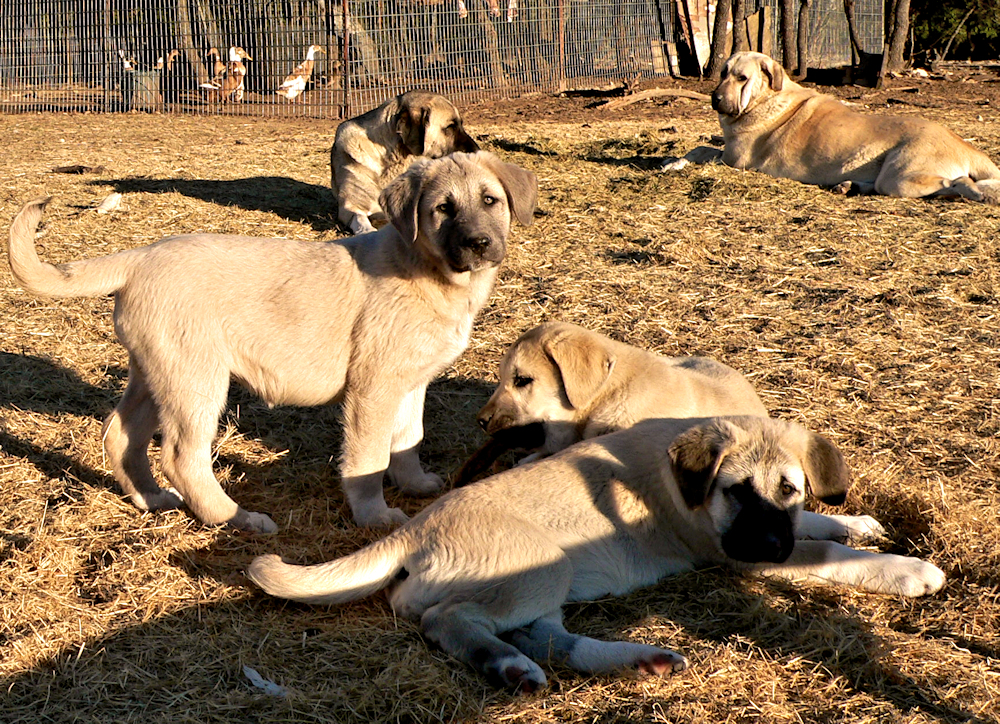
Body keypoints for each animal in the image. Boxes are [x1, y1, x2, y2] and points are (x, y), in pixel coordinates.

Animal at [7, 150, 540, 532]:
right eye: (443, 209)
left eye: (489, 201)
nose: (478, 244)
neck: (428, 271)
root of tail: (140, 256)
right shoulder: (374, 388)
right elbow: (370, 457)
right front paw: (374, 515)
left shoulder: (410, 384)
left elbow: (408, 441)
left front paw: (415, 484)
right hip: (196, 379)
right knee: (181, 456)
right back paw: (236, 517)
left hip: (156, 374)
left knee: (120, 435)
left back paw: (153, 499)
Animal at [250, 412, 944, 692]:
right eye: (734, 492)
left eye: (789, 488)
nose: (771, 545)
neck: (687, 483)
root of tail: (414, 528)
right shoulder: (733, 552)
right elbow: (827, 558)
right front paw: (910, 571)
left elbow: (818, 527)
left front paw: (856, 521)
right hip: (540, 567)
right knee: (447, 619)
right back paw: (508, 668)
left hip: (541, 584)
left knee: (549, 638)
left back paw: (639, 660)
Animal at [332, 89, 480, 233]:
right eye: (450, 127)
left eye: (461, 124)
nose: (477, 150)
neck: (393, 159)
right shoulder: (350, 208)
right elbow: (362, 222)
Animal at [664, 51, 1000, 204]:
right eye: (723, 73)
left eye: (742, 78)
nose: (715, 98)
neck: (765, 98)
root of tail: (966, 146)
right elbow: (699, 148)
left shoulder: (734, 159)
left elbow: (701, 149)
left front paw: (673, 163)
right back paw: (849, 185)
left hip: (899, 177)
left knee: (954, 184)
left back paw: (971, 190)